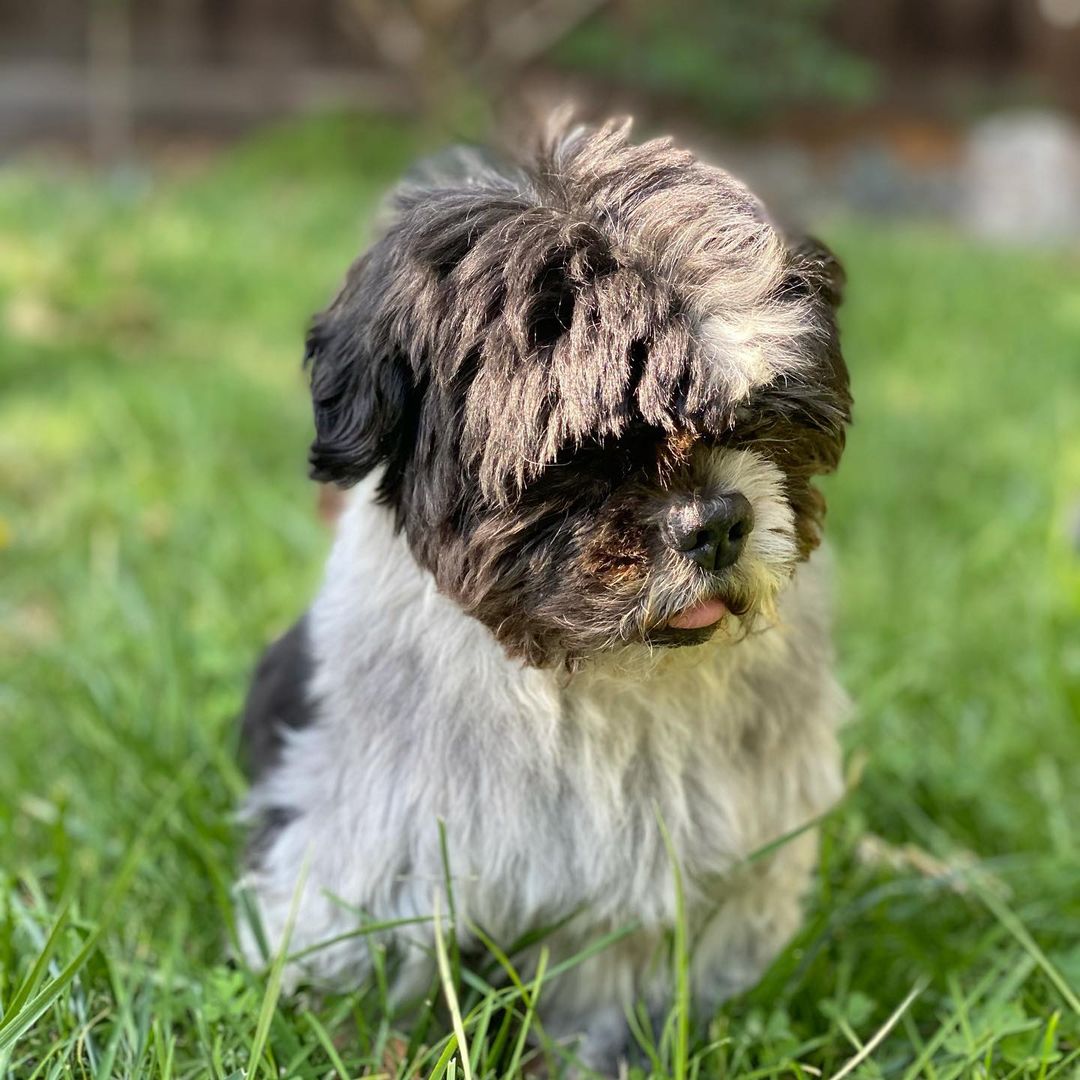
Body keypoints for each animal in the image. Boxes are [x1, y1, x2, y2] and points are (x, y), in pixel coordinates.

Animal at [236, 116, 851, 1071]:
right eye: (588, 452)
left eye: (761, 417)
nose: (716, 520)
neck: (595, 679)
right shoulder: (371, 839)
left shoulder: (642, 897)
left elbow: (604, 991)